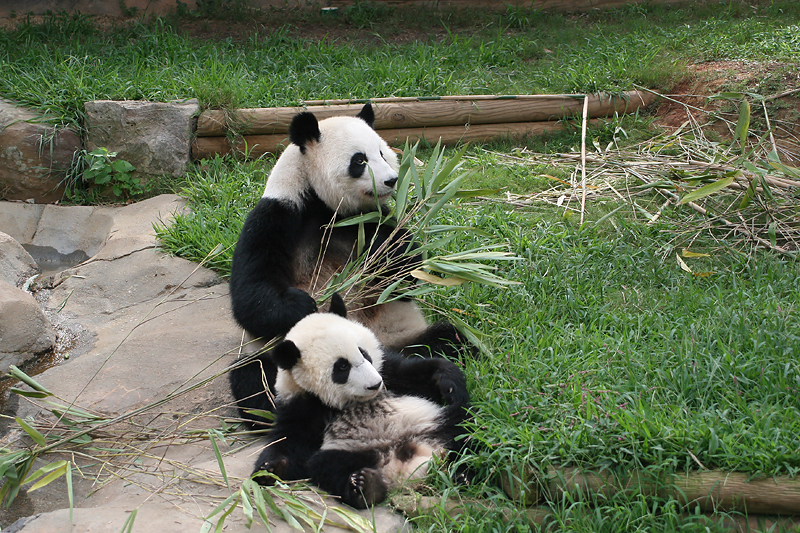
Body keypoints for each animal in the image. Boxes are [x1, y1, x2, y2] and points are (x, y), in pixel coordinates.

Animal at [228, 102, 472, 422]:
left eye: (382, 152)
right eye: (359, 160)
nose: (391, 180)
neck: (328, 209)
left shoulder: (373, 220)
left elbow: (406, 276)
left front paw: (391, 256)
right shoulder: (278, 216)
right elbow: (252, 294)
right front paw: (303, 305)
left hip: (404, 335)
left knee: (449, 339)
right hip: (278, 358)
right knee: (253, 376)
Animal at [253, 296, 472, 508]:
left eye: (364, 353)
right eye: (342, 367)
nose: (375, 385)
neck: (351, 402)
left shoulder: (387, 371)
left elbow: (416, 374)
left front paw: (448, 382)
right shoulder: (302, 404)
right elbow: (292, 442)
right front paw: (269, 469)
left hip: (433, 422)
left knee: (464, 430)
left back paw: (466, 472)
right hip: (353, 451)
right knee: (328, 466)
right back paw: (366, 487)